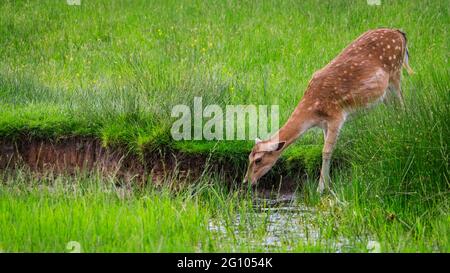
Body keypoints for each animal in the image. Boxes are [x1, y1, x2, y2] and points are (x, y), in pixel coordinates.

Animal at [244, 28, 414, 191]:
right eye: (249, 157)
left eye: (258, 160)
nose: (246, 181)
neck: (313, 112)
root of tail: (400, 33)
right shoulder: (324, 125)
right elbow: (328, 149)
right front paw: (328, 183)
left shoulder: (336, 116)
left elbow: (326, 151)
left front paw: (321, 189)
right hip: (384, 92)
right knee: (394, 109)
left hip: (395, 73)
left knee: (403, 105)